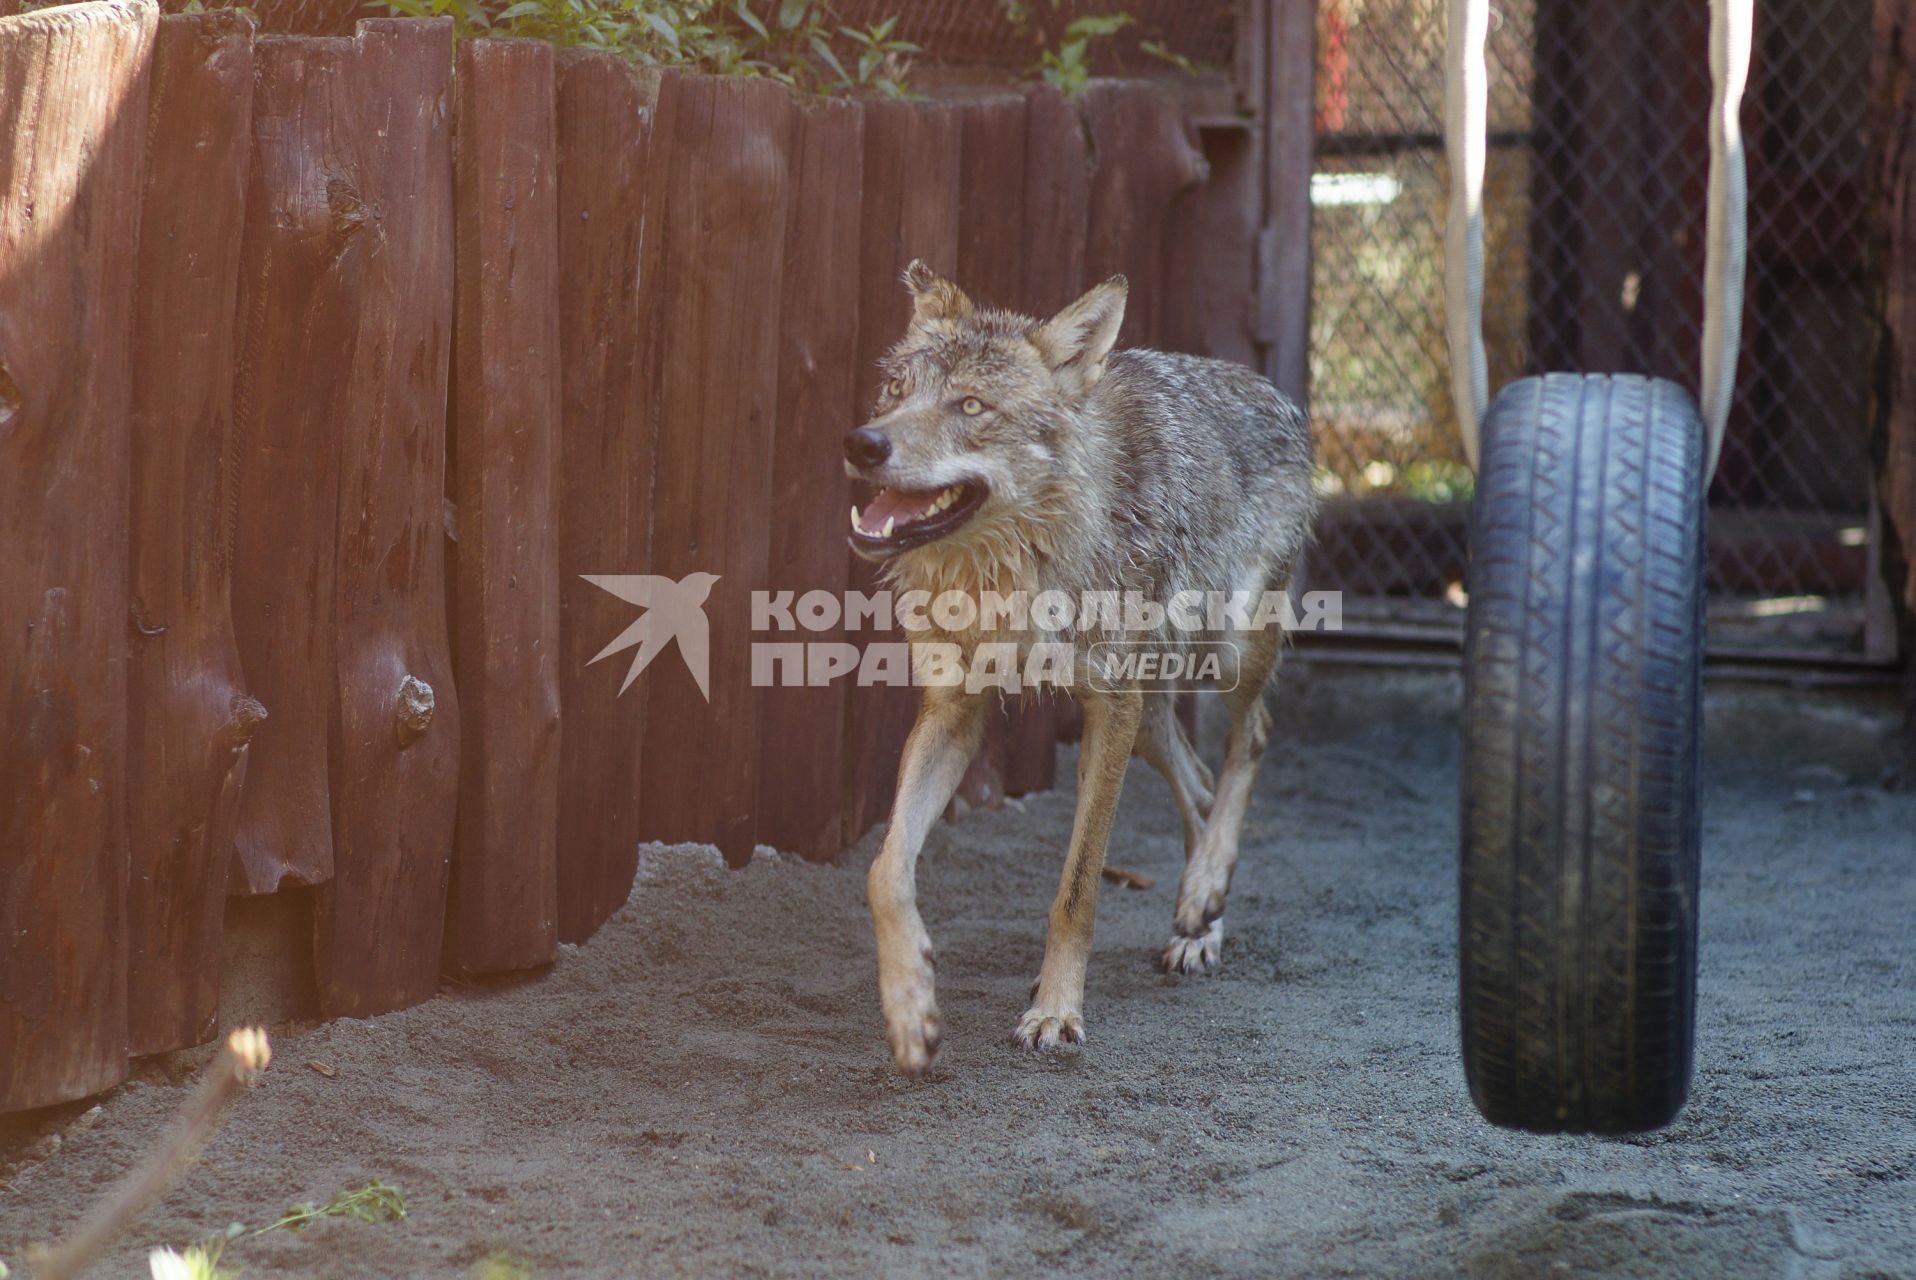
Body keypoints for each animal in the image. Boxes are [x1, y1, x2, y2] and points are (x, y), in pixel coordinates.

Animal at [843, 262, 1310, 1080]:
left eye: (971, 405)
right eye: (896, 391)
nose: (862, 444)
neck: (1014, 571)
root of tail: (1269, 388)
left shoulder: (1107, 709)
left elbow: (1077, 887)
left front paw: (1055, 1012)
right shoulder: (954, 714)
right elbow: (884, 871)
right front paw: (910, 1011)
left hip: (1221, 655)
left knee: (1251, 738)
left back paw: (1205, 890)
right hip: (1151, 715)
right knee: (1197, 782)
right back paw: (1199, 920)